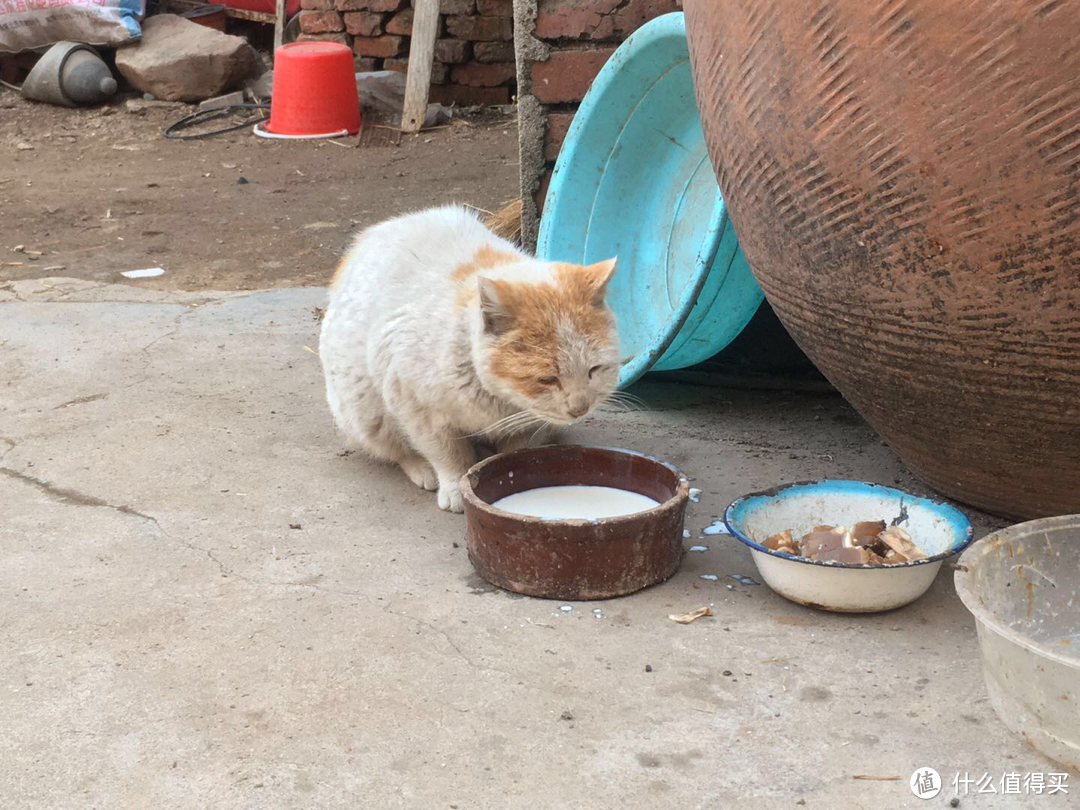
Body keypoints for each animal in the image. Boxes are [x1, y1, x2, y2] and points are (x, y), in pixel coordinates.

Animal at [315, 209, 622, 514]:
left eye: (594, 370)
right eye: (548, 379)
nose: (580, 408)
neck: (499, 400)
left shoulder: (531, 423)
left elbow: (518, 451)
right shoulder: (417, 409)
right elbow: (447, 455)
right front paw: (453, 486)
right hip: (365, 410)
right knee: (395, 447)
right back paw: (421, 469)